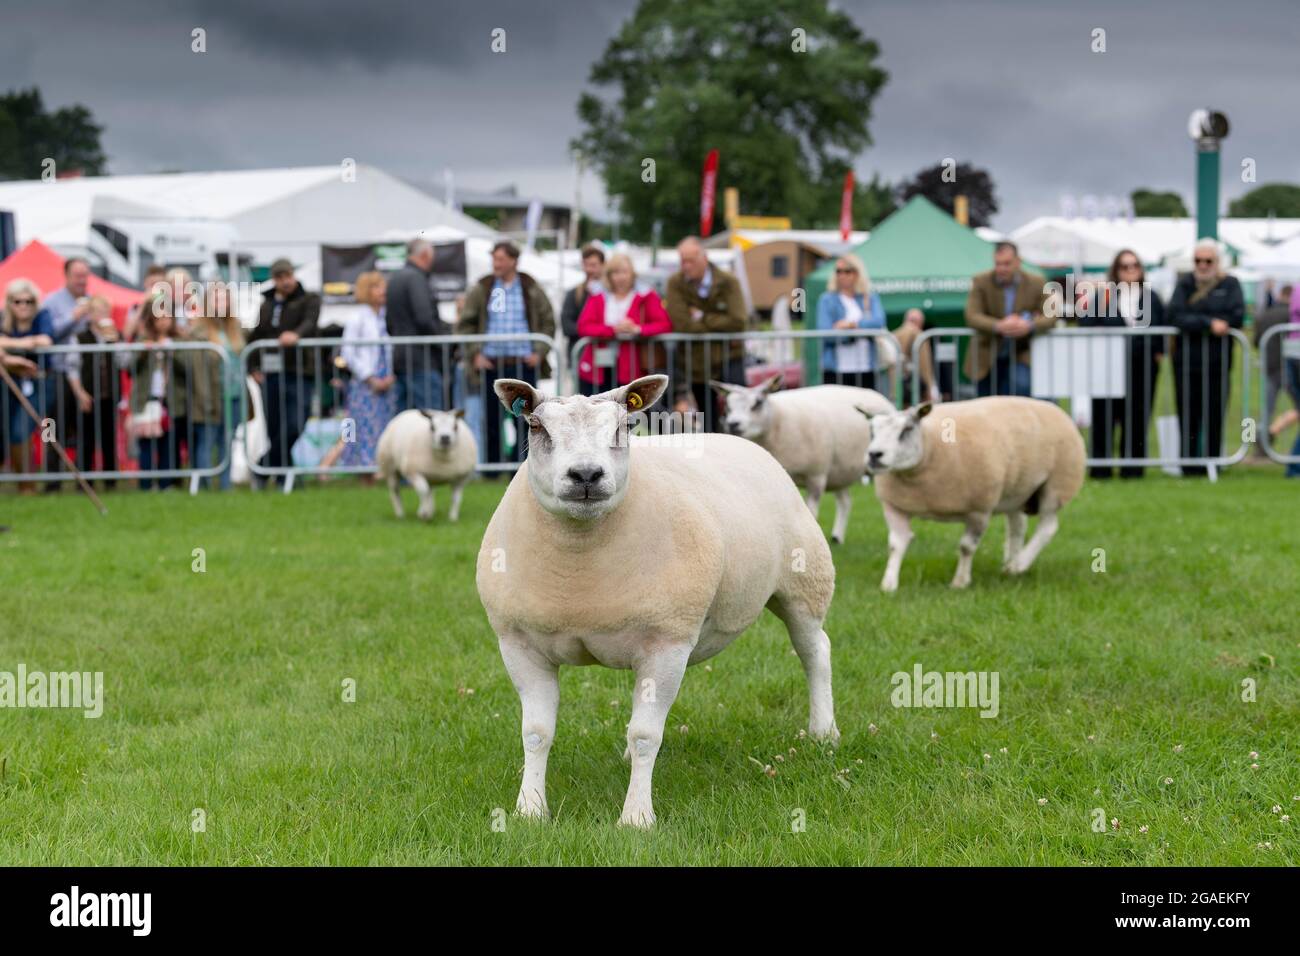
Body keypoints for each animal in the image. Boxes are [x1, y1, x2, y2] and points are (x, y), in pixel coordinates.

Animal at [476, 374, 839, 828]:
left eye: (623, 427)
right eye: (537, 427)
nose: (586, 474)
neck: (578, 571)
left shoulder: (666, 643)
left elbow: (647, 735)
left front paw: (635, 817)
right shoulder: (519, 644)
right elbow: (536, 733)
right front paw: (529, 810)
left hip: (804, 583)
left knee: (815, 652)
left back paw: (824, 732)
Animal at [709, 375, 895, 544]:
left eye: (757, 403)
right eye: (728, 406)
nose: (733, 424)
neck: (778, 420)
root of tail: (876, 394)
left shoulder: (816, 476)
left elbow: (811, 514)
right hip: (839, 470)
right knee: (845, 501)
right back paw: (837, 537)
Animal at [861, 397, 1085, 591]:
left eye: (906, 429)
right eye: (871, 431)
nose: (874, 455)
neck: (930, 448)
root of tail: (1050, 405)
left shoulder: (979, 509)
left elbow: (966, 547)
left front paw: (960, 582)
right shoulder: (894, 507)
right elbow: (895, 545)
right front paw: (889, 584)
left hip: (1056, 485)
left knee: (1048, 527)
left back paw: (1019, 564)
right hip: (1016, 491)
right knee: (1017, 527)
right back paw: (1010, 564)